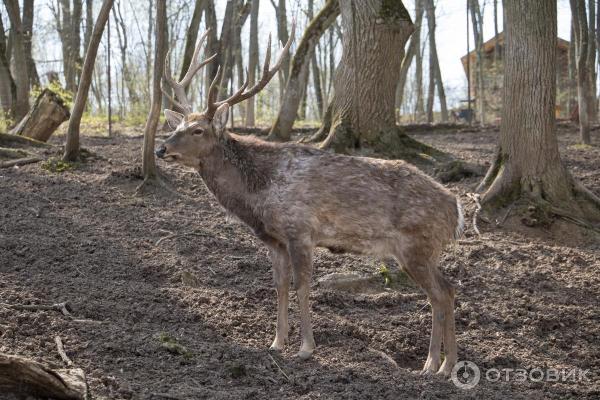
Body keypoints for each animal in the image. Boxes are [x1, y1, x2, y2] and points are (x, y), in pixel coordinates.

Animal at [155, 26, 464, 376]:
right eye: (177, 125)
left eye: (197, 130)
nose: (161, 149)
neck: (258, 196)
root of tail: (456, 208)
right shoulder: (274, 240)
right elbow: (279, 285)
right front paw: (276, 343)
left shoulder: (300, 230)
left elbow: (302, 285)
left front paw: (305, 348)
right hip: (423, 250)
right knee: (447, 289)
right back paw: (444, 364)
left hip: (417, 245)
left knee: (440, 293)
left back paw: (435, 365)